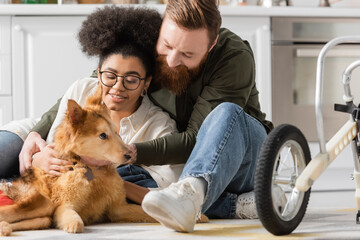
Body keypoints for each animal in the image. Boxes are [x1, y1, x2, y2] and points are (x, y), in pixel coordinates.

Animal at [0, 85, 154, 236]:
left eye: (116, 132)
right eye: (103, 136)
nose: (130, 155)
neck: (91, 169)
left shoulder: (117, 209)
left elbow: (144, 210)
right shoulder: (64, 206)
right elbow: (76, 221)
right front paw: (74, 225)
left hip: (43, 214)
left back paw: (5, 227)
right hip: (44, 203)